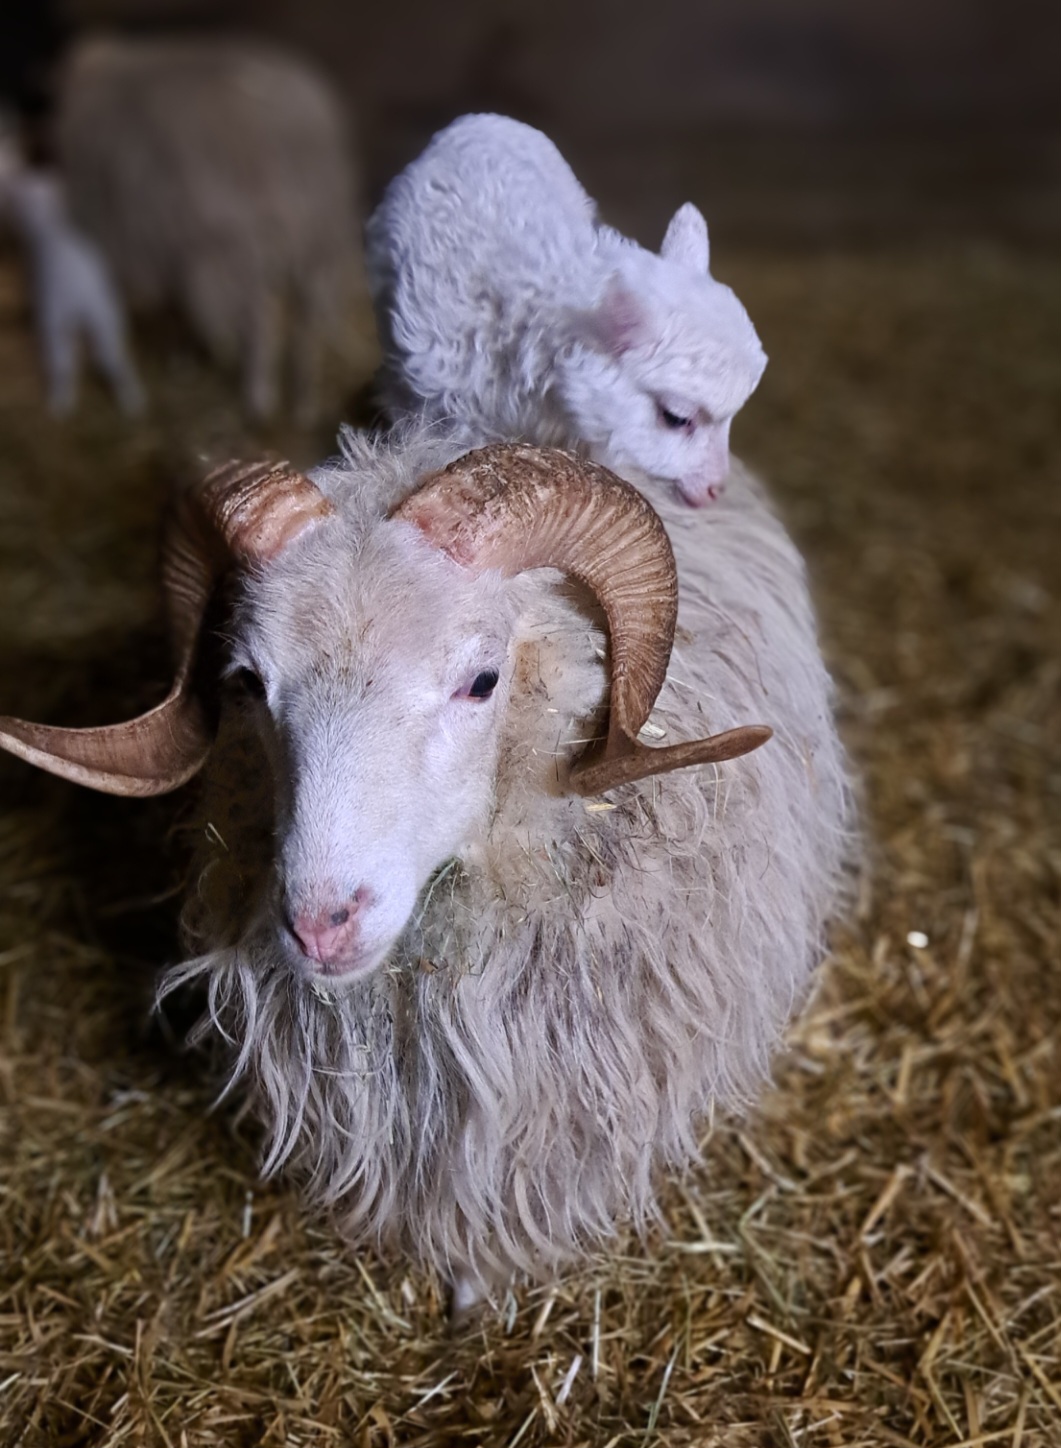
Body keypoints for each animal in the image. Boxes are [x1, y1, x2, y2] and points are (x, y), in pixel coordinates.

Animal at [0, 125, 144, 416]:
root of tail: (80, 296)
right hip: (107, 316)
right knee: (114, 359)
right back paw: (133, 403)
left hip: (55, 320)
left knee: (62, 364)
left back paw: (59, 406)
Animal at [55, 35, 363, 422]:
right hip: (321, 245)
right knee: (308, 324)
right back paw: (304, 401)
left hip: (233, 252)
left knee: (261, 321)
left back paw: (257, 399)